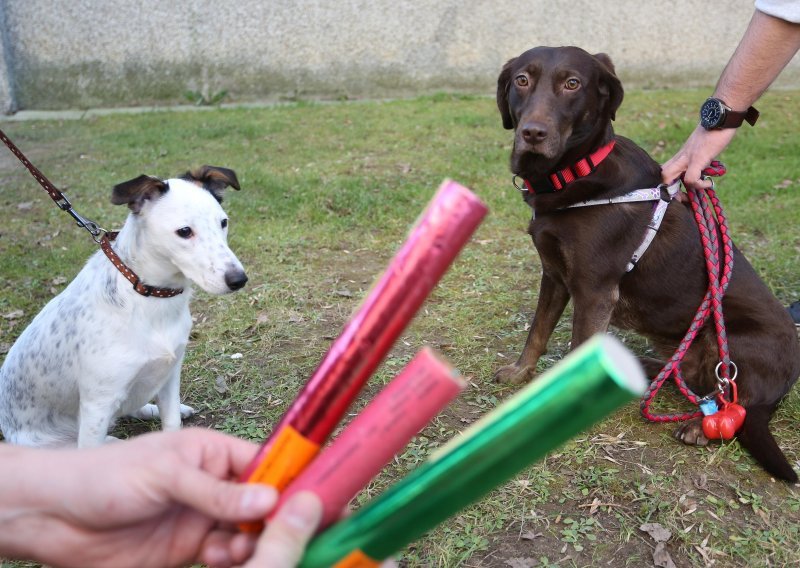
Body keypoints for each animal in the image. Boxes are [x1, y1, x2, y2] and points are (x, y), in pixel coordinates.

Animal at [494, 45, 800, 480]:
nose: (532, 133)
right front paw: (521, 373)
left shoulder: (594, 291)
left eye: (572, 83)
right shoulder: (553, 275)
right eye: (522, 80)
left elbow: (573, 347)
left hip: (731, 342)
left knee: (736, 401)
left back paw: (698, 425)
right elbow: (536, 332)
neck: (575, 173)